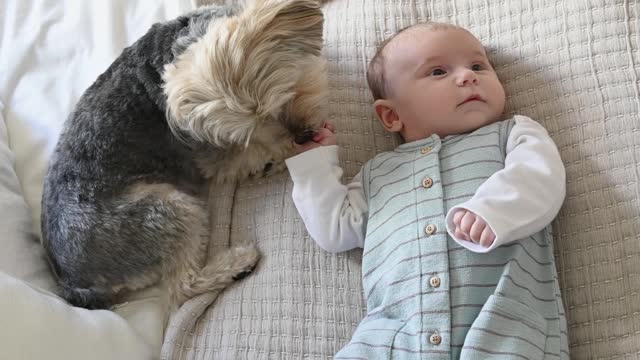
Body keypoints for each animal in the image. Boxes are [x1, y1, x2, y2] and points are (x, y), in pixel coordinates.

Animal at [39, 0, 328, 310]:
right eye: (249, 129)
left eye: (287, 92)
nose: (302, 136)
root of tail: (72, 283)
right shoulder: (214, 157)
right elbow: (252, 153)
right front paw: (289, 151)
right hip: (167, 210)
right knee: (182, 288)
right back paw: (238, 262)